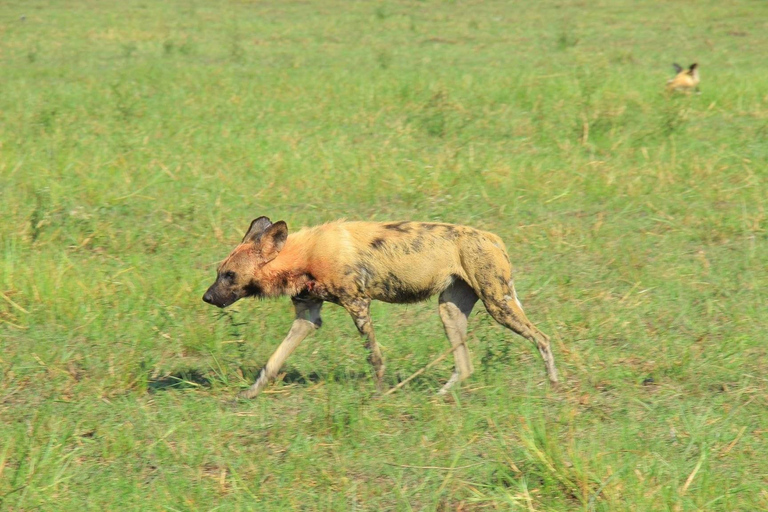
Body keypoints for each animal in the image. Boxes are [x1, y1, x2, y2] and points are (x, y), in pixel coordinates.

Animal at [202, 214, 560, 398]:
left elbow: (375, 358)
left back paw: (554, 384)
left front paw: (378, 395)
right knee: (465, 365)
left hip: (498, 305)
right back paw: (439, 397)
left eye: (230, 275)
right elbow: (272, 362)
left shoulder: (358, 305)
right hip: (449, 311)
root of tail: (492, 237)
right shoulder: (307, 317)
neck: (300, 256)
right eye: (219, 271)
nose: (206, 297)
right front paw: (250, 393)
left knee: (543, 338)